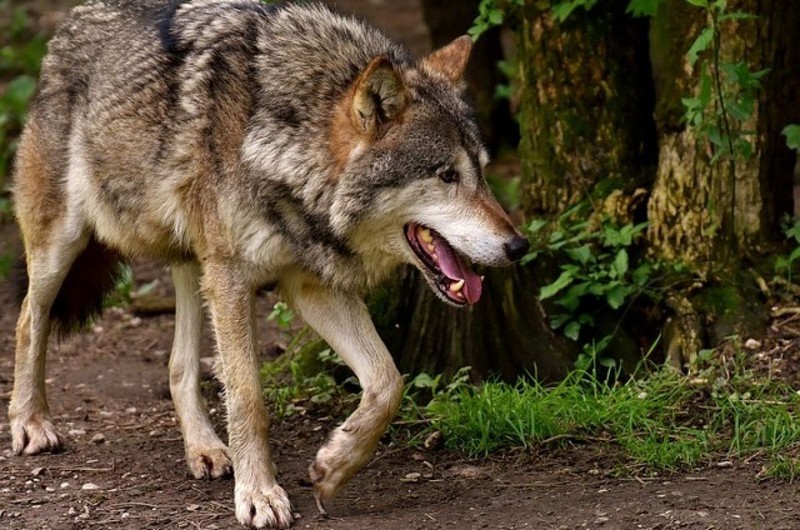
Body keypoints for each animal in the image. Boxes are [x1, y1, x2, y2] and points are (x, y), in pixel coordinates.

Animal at [7, 1, 532, 524]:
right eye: (447, 176)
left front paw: (333, 467)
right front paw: (259, 494)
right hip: (65, 244)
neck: (285, 146)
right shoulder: (234, 278)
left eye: (482, 173)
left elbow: (388, 382)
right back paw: (31, 423)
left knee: (179, 366)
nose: (518, 246)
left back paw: (205, 450)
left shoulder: (310, 285)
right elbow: (248, 399)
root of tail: (71, 22)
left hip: (194, 263)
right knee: (29, 319)